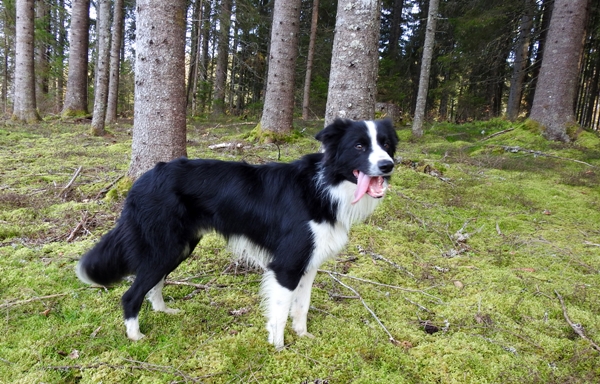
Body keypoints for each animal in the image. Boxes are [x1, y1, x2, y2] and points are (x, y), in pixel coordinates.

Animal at [76, 118, 398, 348]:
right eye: (359, 146)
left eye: (385, 144)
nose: (387, 165)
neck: (326, 186)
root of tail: (142, 179)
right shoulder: (287, 265)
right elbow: (280, 310)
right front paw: (279, 348)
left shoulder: (308, 265)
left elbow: (301, 307)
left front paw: (304, 336)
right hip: (164, 247)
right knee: (131, 294)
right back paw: (136, 336)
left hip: (179, 247)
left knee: (154, 283)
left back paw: (163, 311)